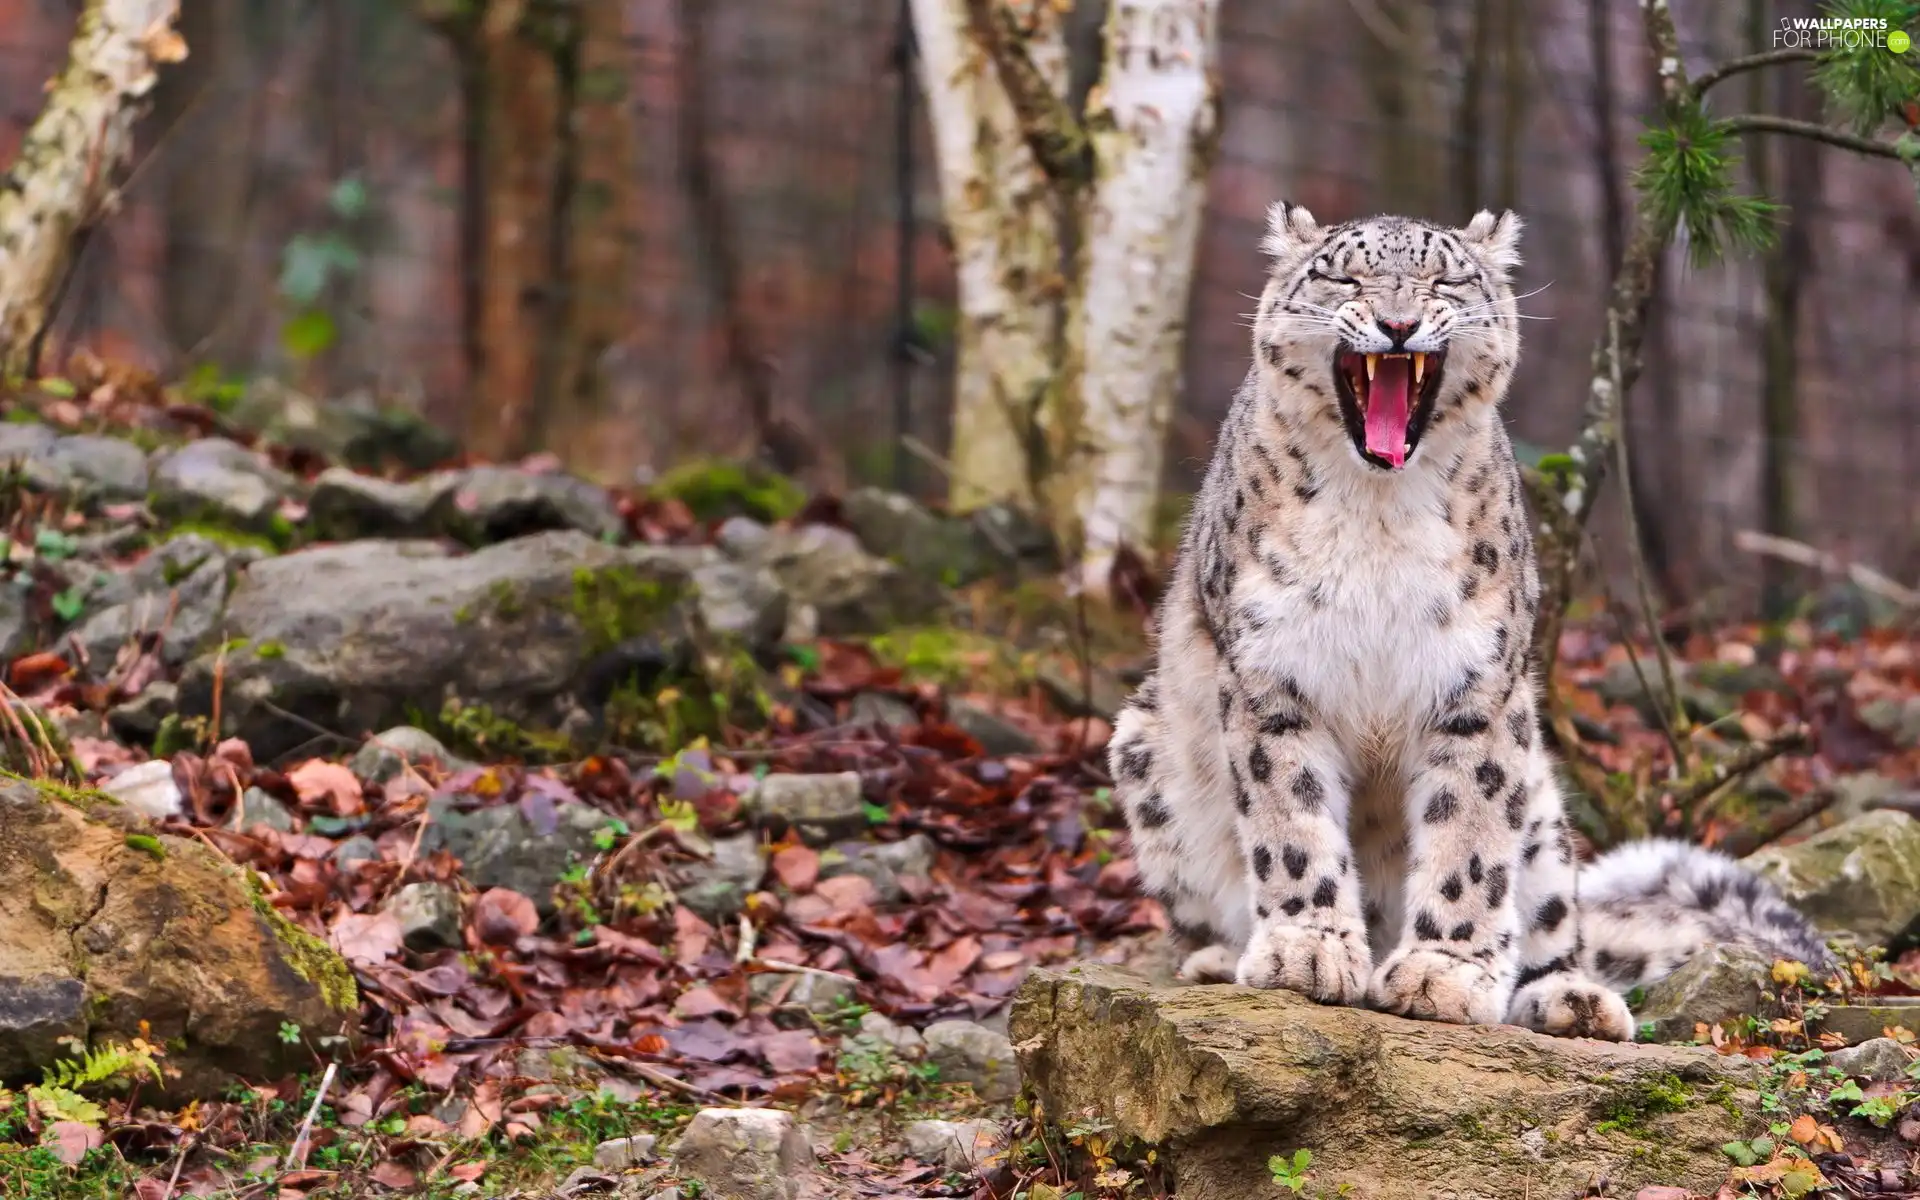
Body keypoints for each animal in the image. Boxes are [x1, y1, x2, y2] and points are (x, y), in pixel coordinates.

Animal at [1113, 203, 1827, 1036]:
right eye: (1343, 276)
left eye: (1446, 280)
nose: (1397, 323)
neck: (1379, 511)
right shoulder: (1273, 674)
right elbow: (1291, 819)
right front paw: (1307, 950)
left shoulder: (1477, 686)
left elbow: (1470, 835)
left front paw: (1443, 974)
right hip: (1145, 749)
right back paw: (1221, 959)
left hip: (1543, 808)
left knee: (1554, 921)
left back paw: (1572, 999)